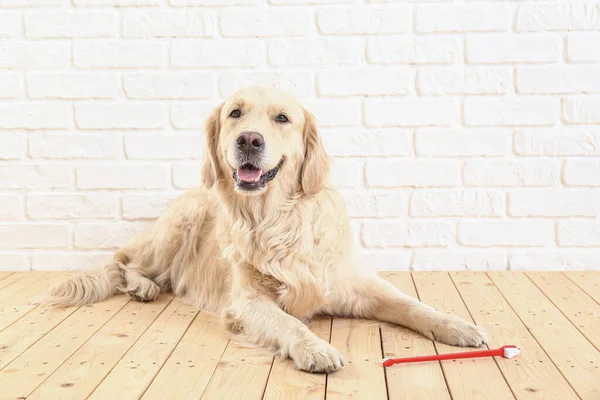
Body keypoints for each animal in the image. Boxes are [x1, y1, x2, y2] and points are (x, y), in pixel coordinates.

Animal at [45, 86, 488, 374]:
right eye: (235, 114)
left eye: (282, 118)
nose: (249, 140)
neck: (278, 220)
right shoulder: (246, 302)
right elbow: (290, 322)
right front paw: (314, 348)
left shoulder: (356, 284)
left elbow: (411, 304)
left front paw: (457, 326)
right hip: (179, 222)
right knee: (122, 262)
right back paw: (142, 286)